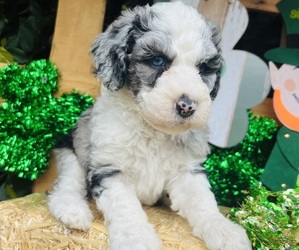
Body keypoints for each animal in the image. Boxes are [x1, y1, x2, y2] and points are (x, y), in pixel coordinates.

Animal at [48, 1, 253, 250]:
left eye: (203, 68)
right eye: (157, 60)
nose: (187, 106)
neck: (154, 131)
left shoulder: (187, 169)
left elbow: (202, 200)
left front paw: (222, 229)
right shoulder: (111, 168)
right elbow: (126, 208)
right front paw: (136, 239)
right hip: (72, 149)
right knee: (66, 184)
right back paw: (72, 210)